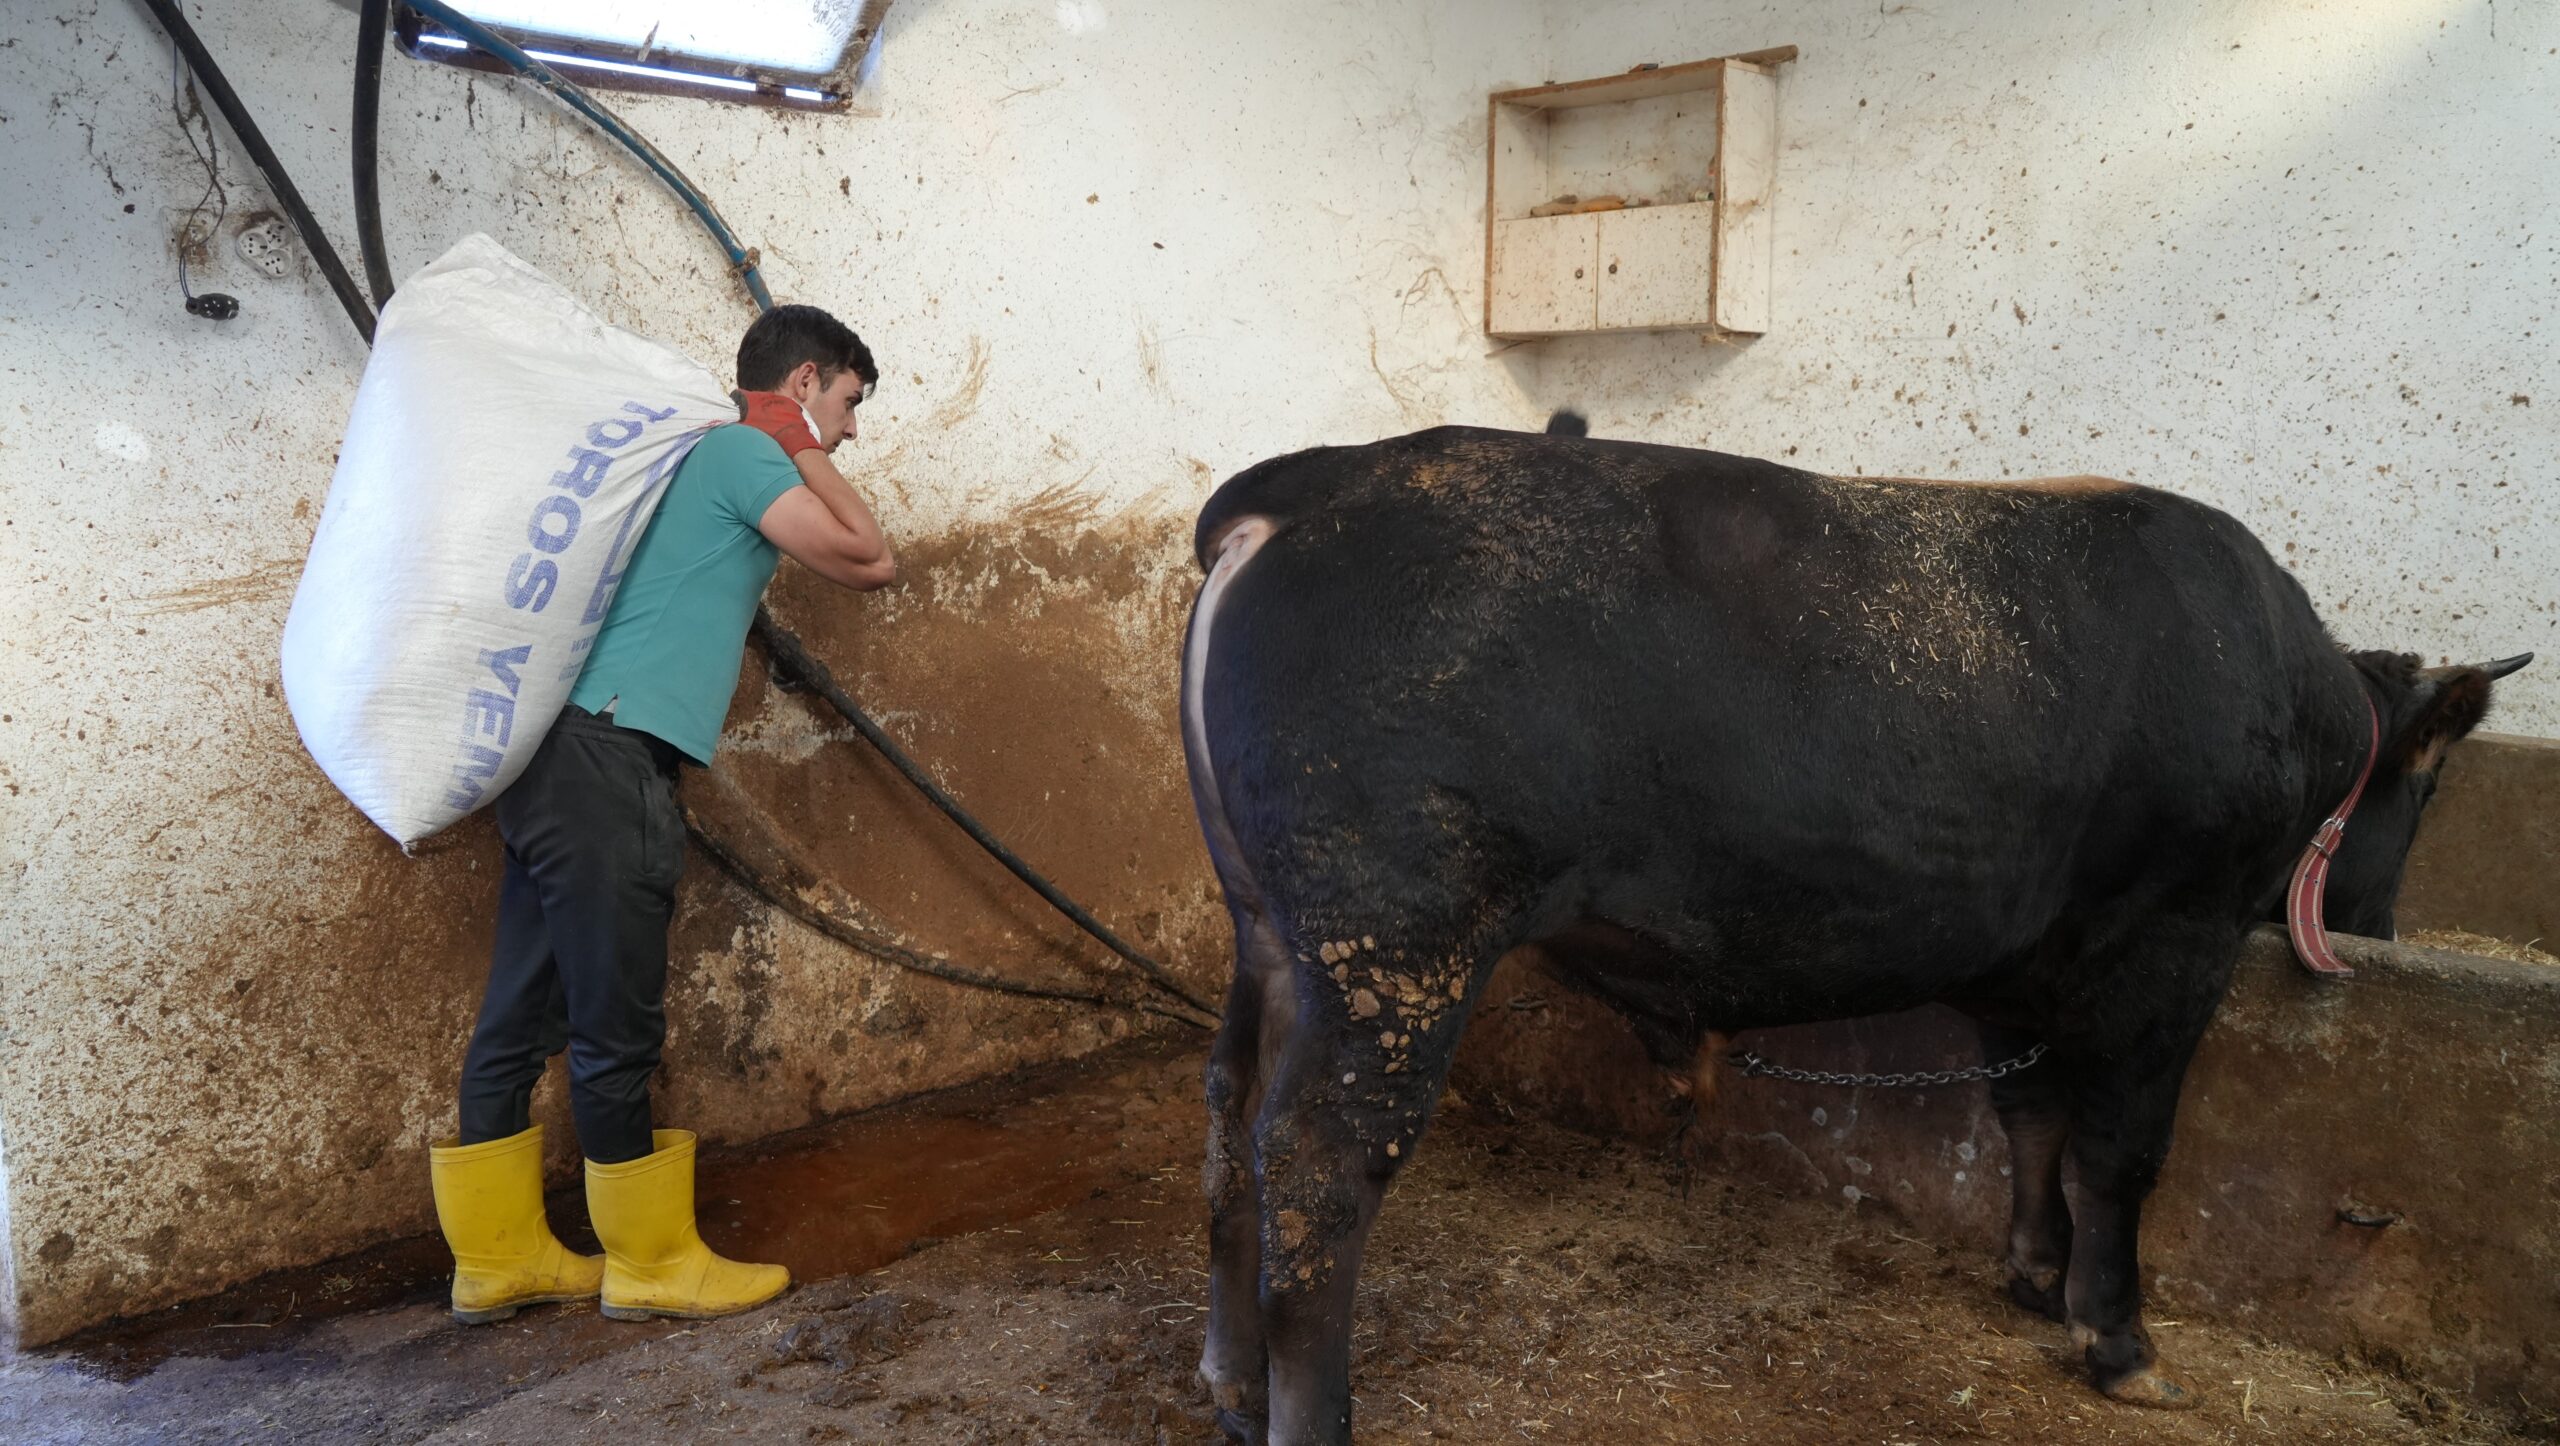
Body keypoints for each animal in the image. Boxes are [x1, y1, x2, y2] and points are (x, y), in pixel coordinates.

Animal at [1182, 422, 2539, 1433]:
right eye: (2427, 793)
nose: (2383, 925)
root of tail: (1317, 479)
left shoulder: (2021, 953)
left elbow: (2030, 1111)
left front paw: (2033, 1271)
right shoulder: (2173, 936)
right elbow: (2121, 1144)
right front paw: (2117, 1335)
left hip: (1275, 935)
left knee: (1233, 1116)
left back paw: (1230, 1377)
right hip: (1396, 941)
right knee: (1317, 1172)